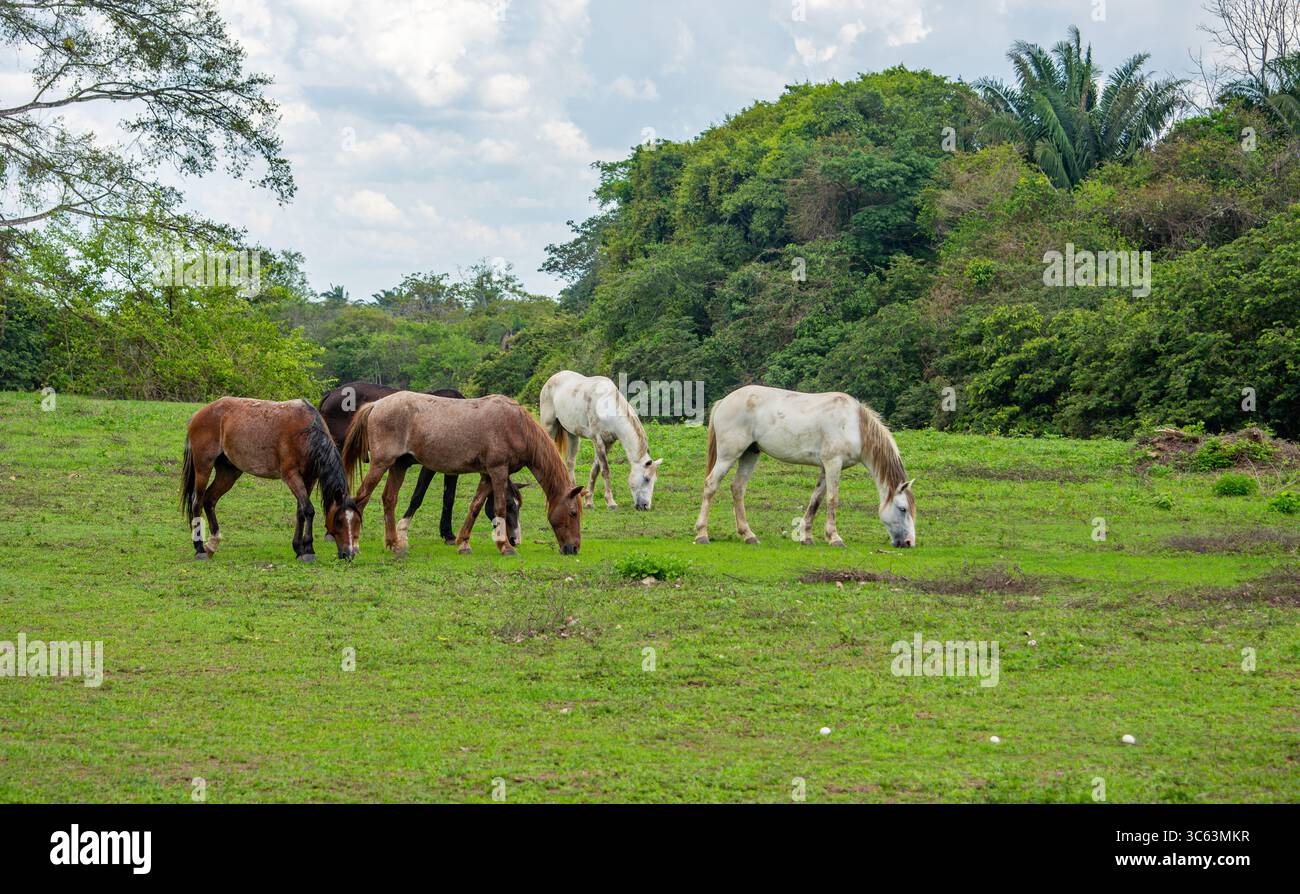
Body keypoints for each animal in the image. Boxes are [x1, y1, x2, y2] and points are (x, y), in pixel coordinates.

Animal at [181, 398, 362, 561]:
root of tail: (198, 415)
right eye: (338, 521)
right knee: (197, 502)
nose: (350, 554)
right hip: (203, 467)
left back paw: (212, 544)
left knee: (209, 500)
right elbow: (309, 510)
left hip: (229, 473)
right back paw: (199, 548)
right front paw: (309, 550)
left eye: (357, 522)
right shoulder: (291, 476)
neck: (306, 433)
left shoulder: (309, 479)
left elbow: (301, 511)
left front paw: (299, 548)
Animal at [319, 382, 522, 546]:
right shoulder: (430, 467)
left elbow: (448, 497)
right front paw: (405, 530)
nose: (514, 540)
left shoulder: (451, 469)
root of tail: (331, 394)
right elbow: (419, 496)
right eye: (510, 505)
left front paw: (447, 533)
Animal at [341, 391, 585, 556]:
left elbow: (475, 506)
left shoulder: (487, 474)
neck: (516, 425)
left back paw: (394, 544)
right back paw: (355, 545)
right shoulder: (498, 470)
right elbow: (498, 507)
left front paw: (464, 542)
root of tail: (376, 404)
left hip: (399, 466)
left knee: (389, 499)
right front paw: (504, 546)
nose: (573, 548)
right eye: (573, 513)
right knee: (361, 498)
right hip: (381, 463)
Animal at [539, 370, 663, 510]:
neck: (607, 405)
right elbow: (605, 471)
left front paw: (588, 501)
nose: (645, 506)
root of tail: (552, 378)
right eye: (646, 479)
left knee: (570, 463)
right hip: (549, 428)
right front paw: (611, 502)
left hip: (572, 435)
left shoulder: (608, 444)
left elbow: (595, 470)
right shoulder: (597, 440)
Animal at [694, 385, 916, 548]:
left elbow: (816, 499)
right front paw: (835, 538)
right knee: (711, 485)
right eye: (903, 508)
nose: (909, 542)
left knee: (738, 488)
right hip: (728, 455)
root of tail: (724, 401)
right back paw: (702, 534)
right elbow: (832, 499)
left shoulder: (827, 467)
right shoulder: (833, 464)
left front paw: (806, 536)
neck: (854, 425)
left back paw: (748, 535)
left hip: (750, 454)